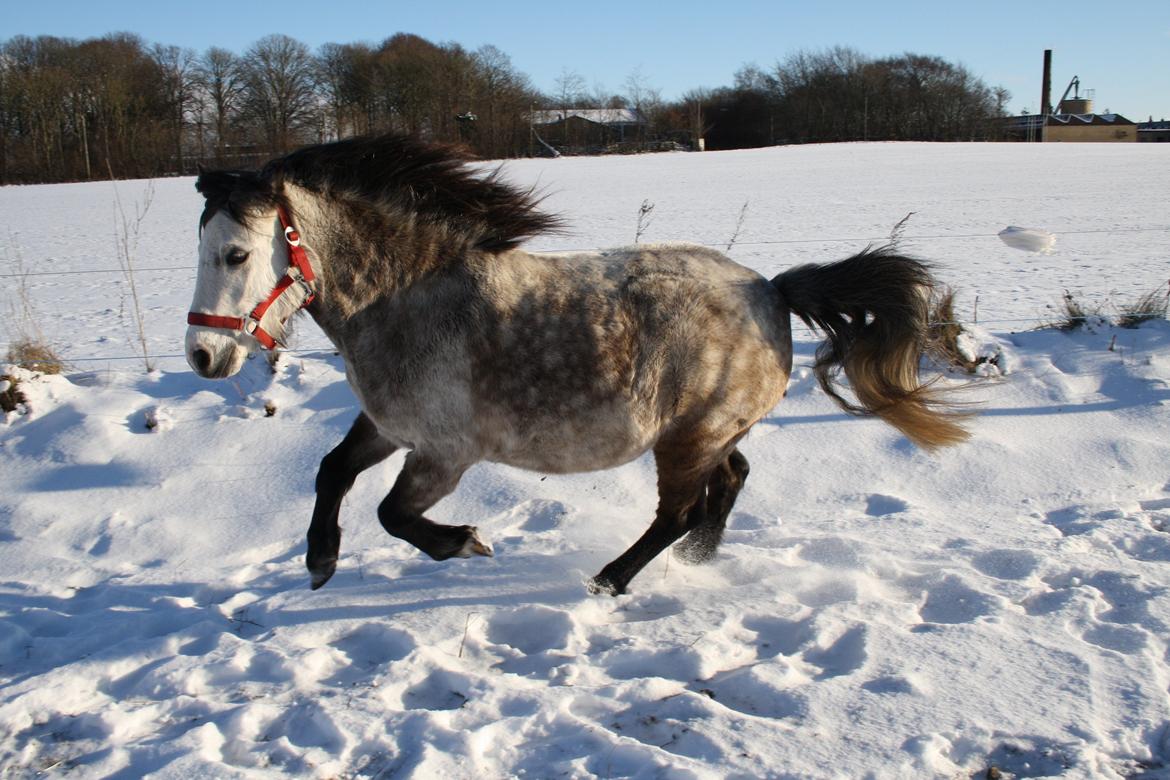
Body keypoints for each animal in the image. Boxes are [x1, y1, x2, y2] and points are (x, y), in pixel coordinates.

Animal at [184, 134, 968, 598]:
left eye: (236, 254)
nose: (202, 354)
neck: (406, 297)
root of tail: (773, 292)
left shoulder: (444, 454)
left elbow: (393, 513)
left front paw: (464, 542)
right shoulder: (388, 425)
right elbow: (332, 471)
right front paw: (319, 559)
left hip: (688, 437)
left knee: (681, 509)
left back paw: (611, 580)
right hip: (708, 433)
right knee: (728, 484)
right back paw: (697, 561)